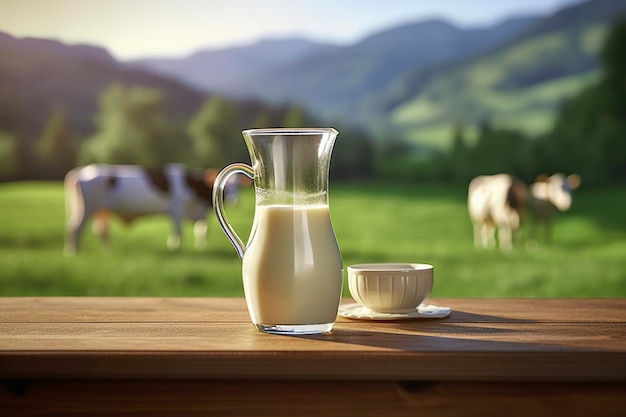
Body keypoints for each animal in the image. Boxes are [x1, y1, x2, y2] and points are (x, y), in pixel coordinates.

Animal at [63, 163, 243, 254]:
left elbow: (202, 231)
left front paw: (201, 248)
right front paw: (175, 249)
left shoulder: (200, 214)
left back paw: (107, 251)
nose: (233, 201)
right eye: (225, 187)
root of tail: (79, 171)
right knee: (75, 228)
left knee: (100, 230)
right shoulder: (176, 209)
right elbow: (178, 231)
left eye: (238, 186)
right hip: (85, 208)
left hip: (101, 210)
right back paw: (73, 252)